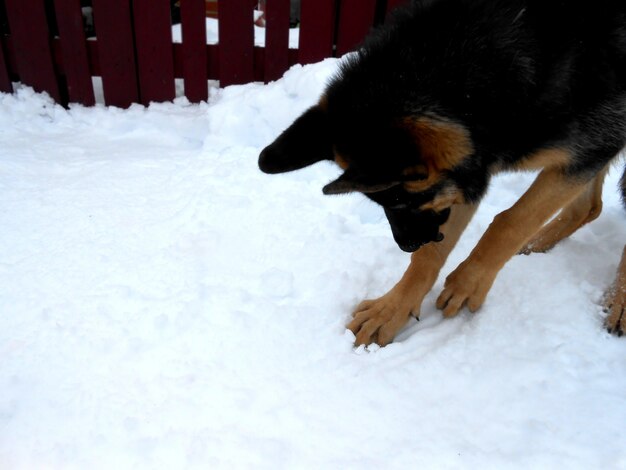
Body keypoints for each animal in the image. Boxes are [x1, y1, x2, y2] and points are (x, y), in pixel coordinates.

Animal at [258, 0, 624, 346]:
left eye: (401, 202)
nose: (406, 246)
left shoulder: (588, 149)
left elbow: (510, 221)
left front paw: (468, 282)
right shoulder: (469, 170)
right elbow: (433, 252)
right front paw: (393, 308)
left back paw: (618, 304)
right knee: (588, 208)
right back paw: (537, 245)